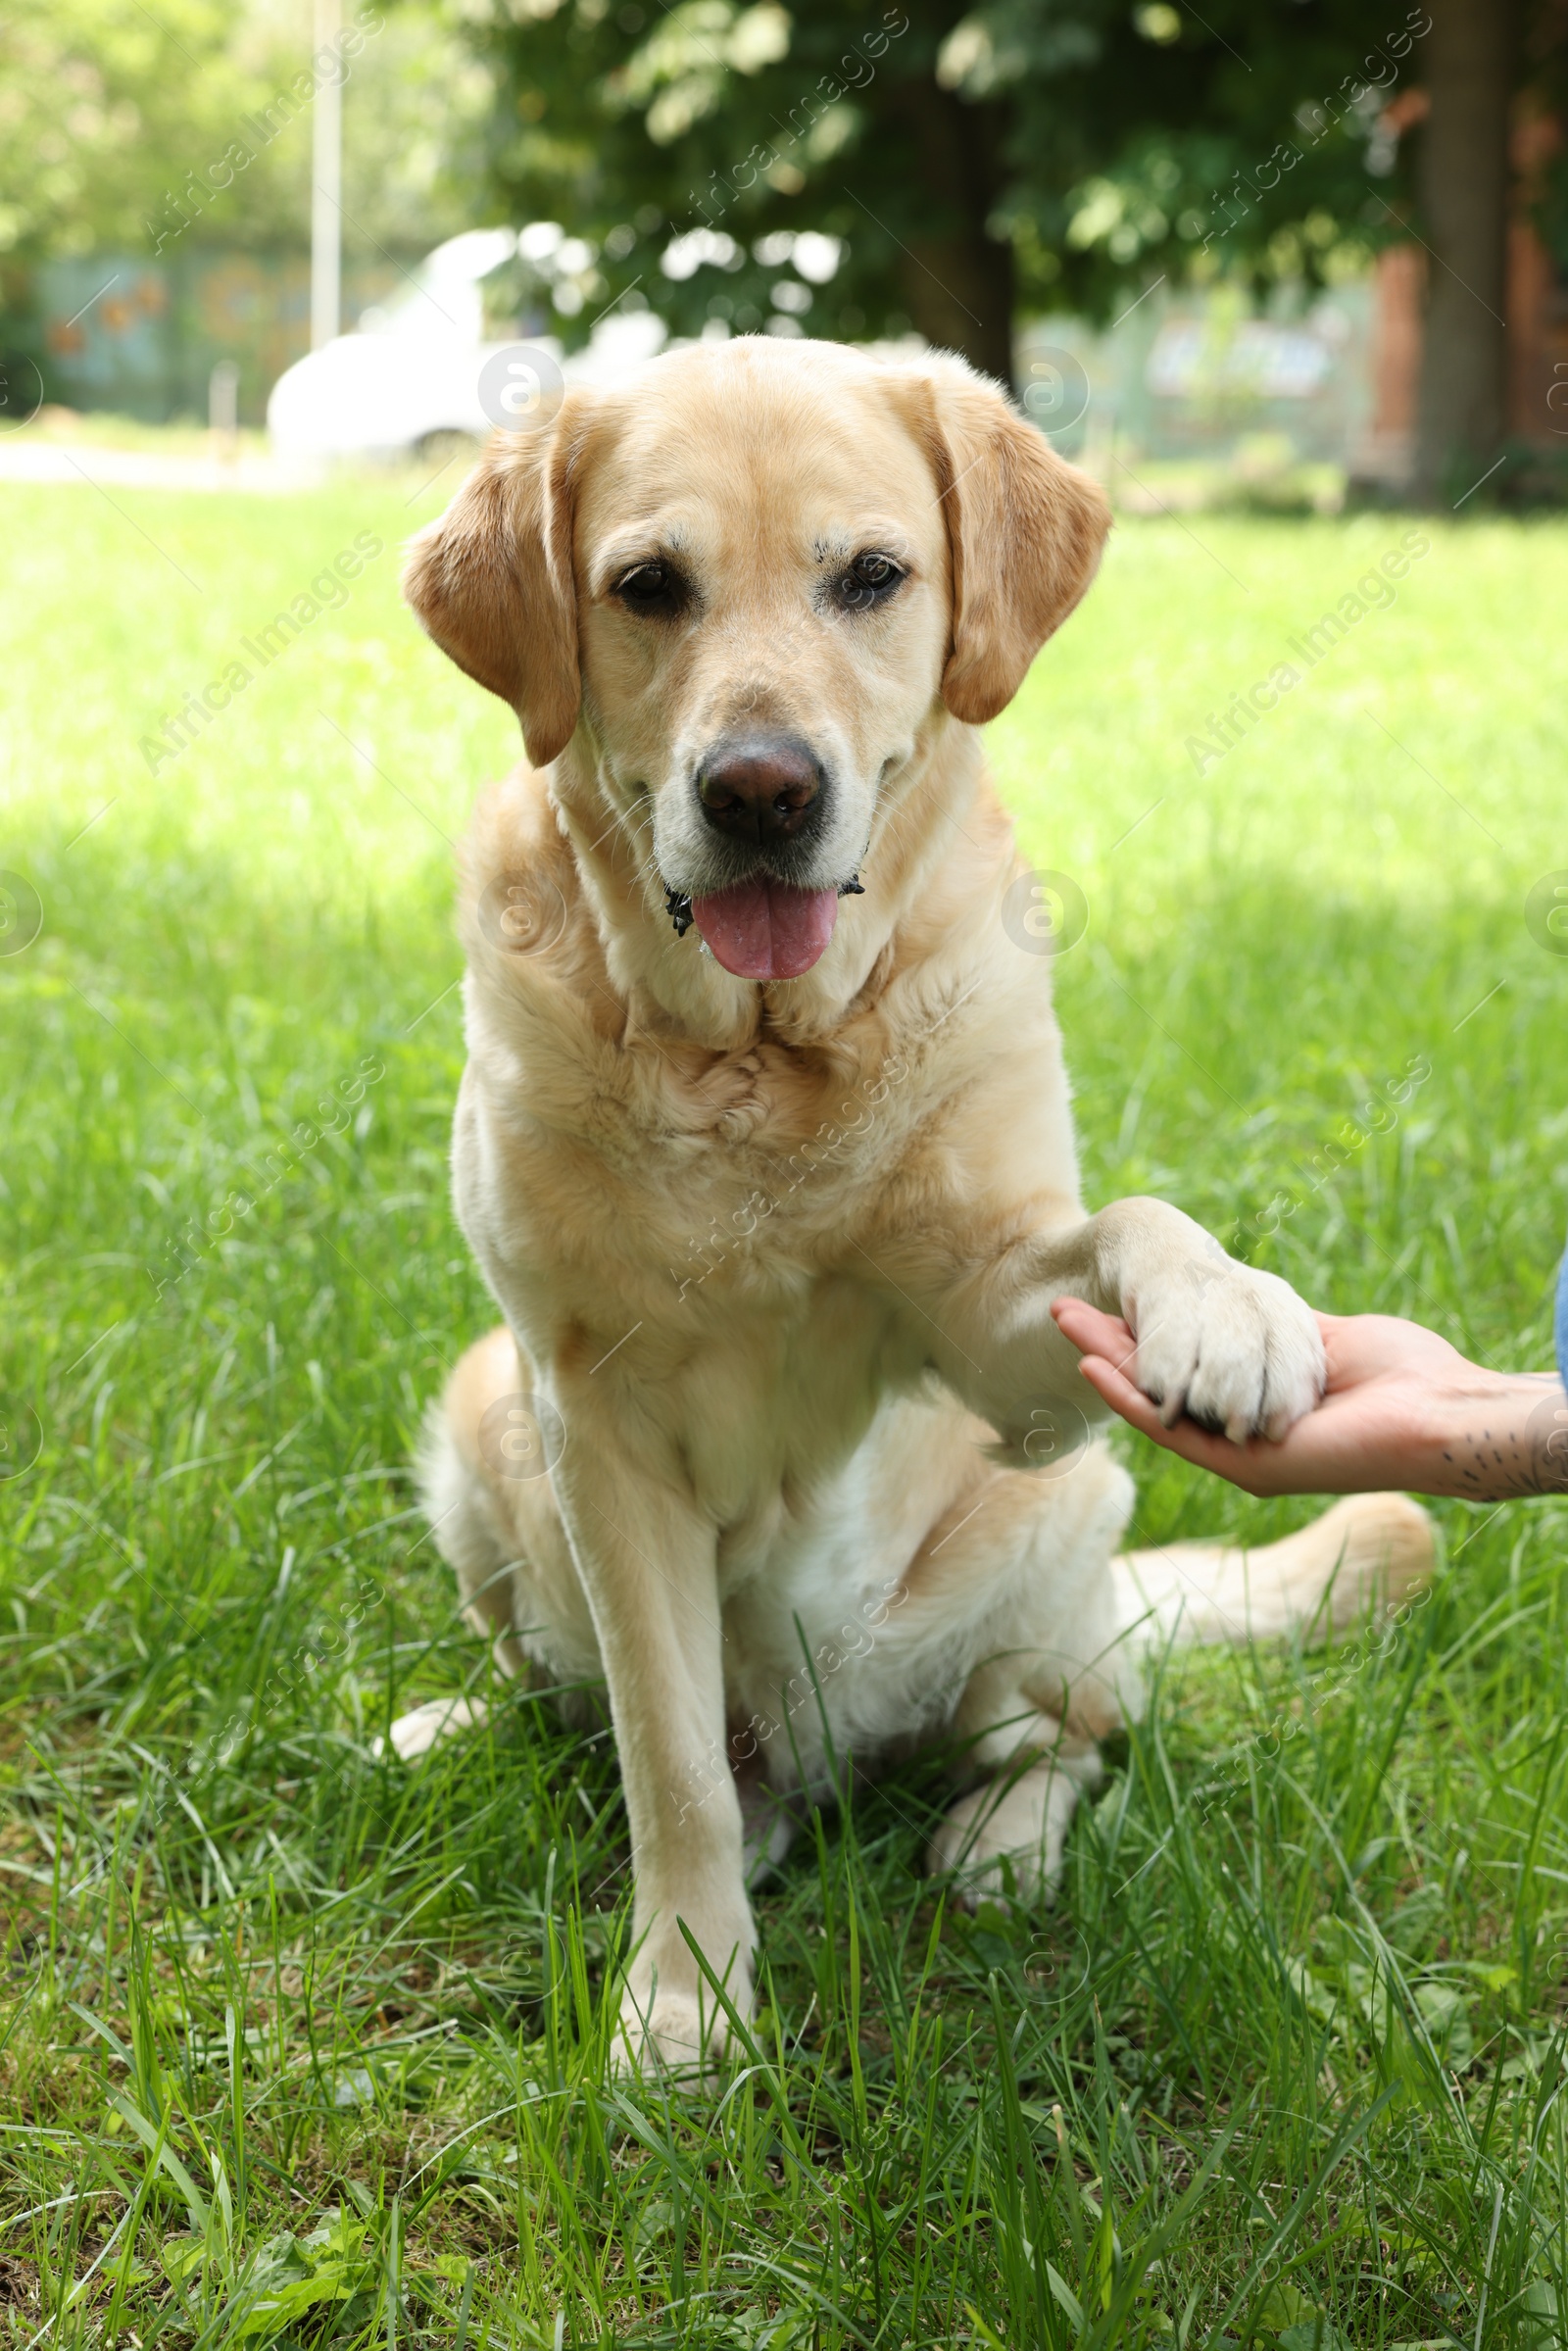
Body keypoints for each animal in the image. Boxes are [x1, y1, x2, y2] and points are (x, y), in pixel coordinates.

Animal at [392, 340, 1439, 2069]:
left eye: (872, 577)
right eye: (647, 584)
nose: (760, 789)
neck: (760, 1061)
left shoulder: (992, 1331)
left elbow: (1131, 1219)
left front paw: (1231, 1304)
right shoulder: (593, 1411)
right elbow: (665, 1759)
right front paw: (683, 1996)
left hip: (1064, 1522)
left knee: (1073, 1730)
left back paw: (997, 1844)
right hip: (482, 1413)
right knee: (618, 1713)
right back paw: (472, 1719)